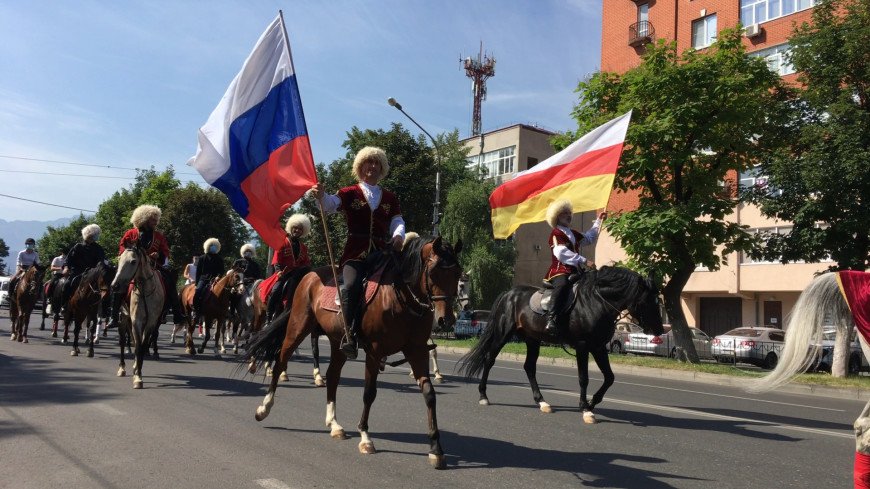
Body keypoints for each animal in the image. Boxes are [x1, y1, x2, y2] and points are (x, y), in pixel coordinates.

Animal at [111, 242, 166, 386]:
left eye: (133, 261)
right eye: (119, 260)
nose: (115, 285)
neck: (145, 291)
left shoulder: (151, 322)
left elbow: (143, 345)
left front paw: (138, 372)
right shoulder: (137, 321)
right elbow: (138, 346)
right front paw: (137, 377)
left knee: (137, 342)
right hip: (124, 318)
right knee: (123, 342)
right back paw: (122, 368)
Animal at [245, 236, 464, 468]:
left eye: (458, 273)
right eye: (433, 272)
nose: (446, 320)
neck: (400, 298)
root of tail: (309, 275)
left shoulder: (417, 351)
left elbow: (429, 394)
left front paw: (436, 449)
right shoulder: (375, 351)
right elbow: (369, 393)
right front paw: (366, 438)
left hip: (337, 342)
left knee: (332, 376)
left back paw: (334, 424)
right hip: (298, 327)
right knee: (280, 361)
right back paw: (264, 407)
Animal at [460, 264, 664, 422]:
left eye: (658, 300)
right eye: (647, 301)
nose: (660, 330)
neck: (596, 302)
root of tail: (508, 293)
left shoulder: (598, 348)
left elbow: (609, 377)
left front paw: (592, 403)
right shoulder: (583, 346)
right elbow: (584, 378)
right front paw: (585, 408)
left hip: (532, 339)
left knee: (529, 367)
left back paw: (542, 402)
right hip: (503, 334)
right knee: (489, 359)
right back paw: (483, 396)